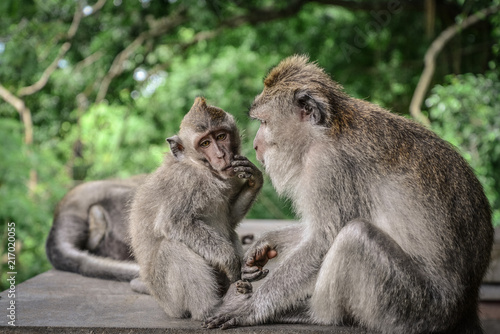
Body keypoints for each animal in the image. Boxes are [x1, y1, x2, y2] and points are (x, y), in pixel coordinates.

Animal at [129, 97, 264, 320]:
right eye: (205, 143)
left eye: (221, 136)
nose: (221, 155)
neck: (202, 169)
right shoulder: (186, 180)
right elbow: (173, 222)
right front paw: (229, 259)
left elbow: (230, 218)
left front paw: (255, 179)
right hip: (169, 300)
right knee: (171, 248)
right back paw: (213, 307)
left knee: (230, 232)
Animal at [205, 56, 494, 332]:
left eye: (264, 122)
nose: (256, 145)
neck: (326, 130)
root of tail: (465, 306)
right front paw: (267, 242)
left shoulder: (327, 167)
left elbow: (323, 240)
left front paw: (251, 309)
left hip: (416, 307)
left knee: (355, 236)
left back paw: (314, 315)